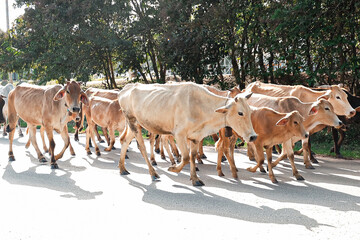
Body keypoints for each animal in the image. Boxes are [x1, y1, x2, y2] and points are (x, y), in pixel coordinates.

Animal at [117, 82, 256, 186]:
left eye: (250, 111)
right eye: (240, 113)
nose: (253, 136)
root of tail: (126, 88)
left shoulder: (195, 137)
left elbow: (192, 156)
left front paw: (195, 179)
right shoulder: (179, 135)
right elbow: (185, 157)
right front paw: (173, 168)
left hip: (136, 124)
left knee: (124, 140)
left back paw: (122, 169)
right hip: (133, 122)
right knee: (141, 146)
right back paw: (153, 173)